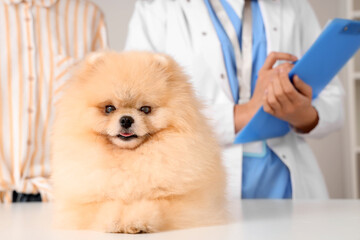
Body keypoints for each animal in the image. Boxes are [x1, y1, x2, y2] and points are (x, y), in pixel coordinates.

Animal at [51, 51, 225, 233]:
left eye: (145, 109)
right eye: (109, 108)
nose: (126, 119)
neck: (129, 157)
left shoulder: (186, 202)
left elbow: (156, 205)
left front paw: (136, 220)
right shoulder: (81, 203)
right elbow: (103, 207)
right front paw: (116, 220)